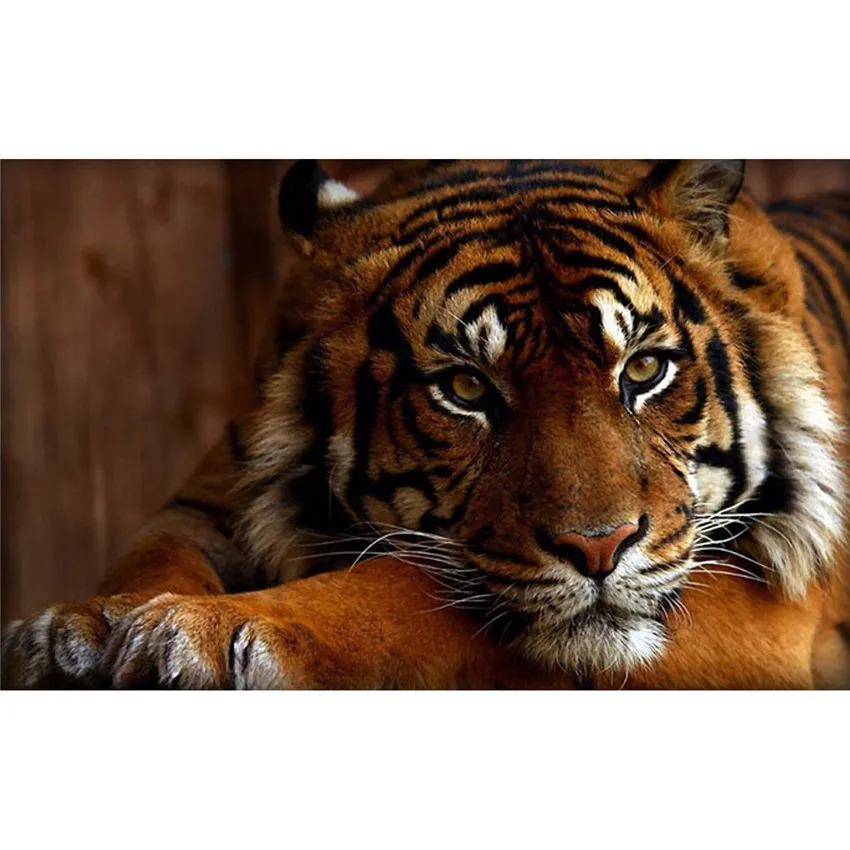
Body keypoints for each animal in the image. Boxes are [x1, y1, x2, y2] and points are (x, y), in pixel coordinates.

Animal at [3, 159, 849, 690]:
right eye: (466, 388)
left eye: (642, 370)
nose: (599, 548)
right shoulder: (208, 502)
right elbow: (150, 559)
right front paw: (79, 631)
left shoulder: (762, 599)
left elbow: (403, 585)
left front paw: (202, 632)